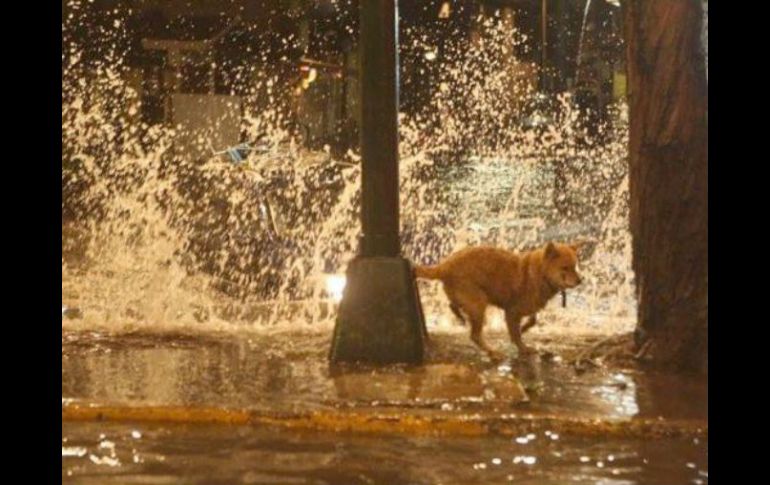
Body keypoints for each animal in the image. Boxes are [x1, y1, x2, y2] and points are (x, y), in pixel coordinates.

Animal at [414, 242, 584, 360]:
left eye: (575, 266)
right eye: (565, 268)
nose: (580, 280)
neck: (540, 274)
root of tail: (444, 265)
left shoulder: (528, 307)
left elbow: (532, 319)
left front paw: (524, 328)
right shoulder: (512, 311)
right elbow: (516, 334)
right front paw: (523, 347)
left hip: (468, 300)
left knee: (453, 305)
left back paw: (461, 317)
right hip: (479, 304)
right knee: (475, 335)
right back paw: (493, 352)